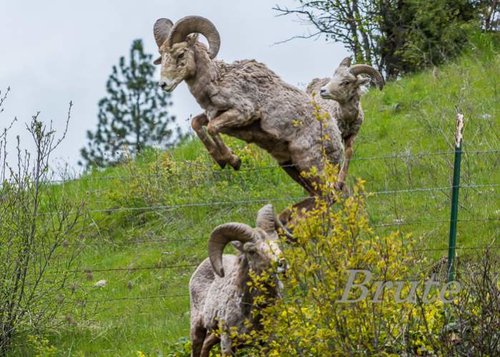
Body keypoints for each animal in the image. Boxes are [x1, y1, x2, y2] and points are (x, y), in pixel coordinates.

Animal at [153, 16, 344, 195]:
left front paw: (233, 161)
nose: (163, 84)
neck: (217, 81)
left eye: (180, 54)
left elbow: (213, 128)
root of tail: (337, 138)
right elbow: (197, 124)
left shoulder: (243, 112)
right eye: (162, 56)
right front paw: (221, 161)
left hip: (311, 165)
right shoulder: (213, 113)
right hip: (293, 169)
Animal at [188, 203, 284, 356]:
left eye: (276, 243)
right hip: (197, 328)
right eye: (251, 251)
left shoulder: (266, 342)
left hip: (214, 335)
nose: (281, 263)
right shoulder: (227, 343)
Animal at [306, 57, 384, 189]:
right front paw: (334, 183)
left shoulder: (351, 135)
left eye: (346, 82)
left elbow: (348, 153)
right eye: (334, 77)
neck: (346, 118)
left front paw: (340, 182)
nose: (323, 91)